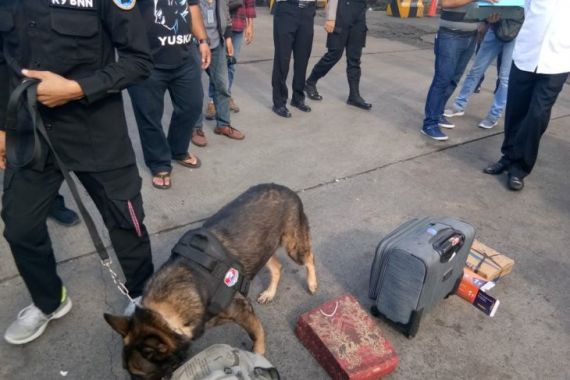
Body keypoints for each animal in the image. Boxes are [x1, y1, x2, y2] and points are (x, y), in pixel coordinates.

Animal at [104, 183, 318, 378]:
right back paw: (270, 293)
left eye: (139, 375)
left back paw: (312, 283)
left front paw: (258, 355)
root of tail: (284, 188)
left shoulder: (243, 311)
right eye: (127, 372)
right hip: (264, 249)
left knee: (309, 258)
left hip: (293, 247)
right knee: (277, 267)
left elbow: (257, 335)